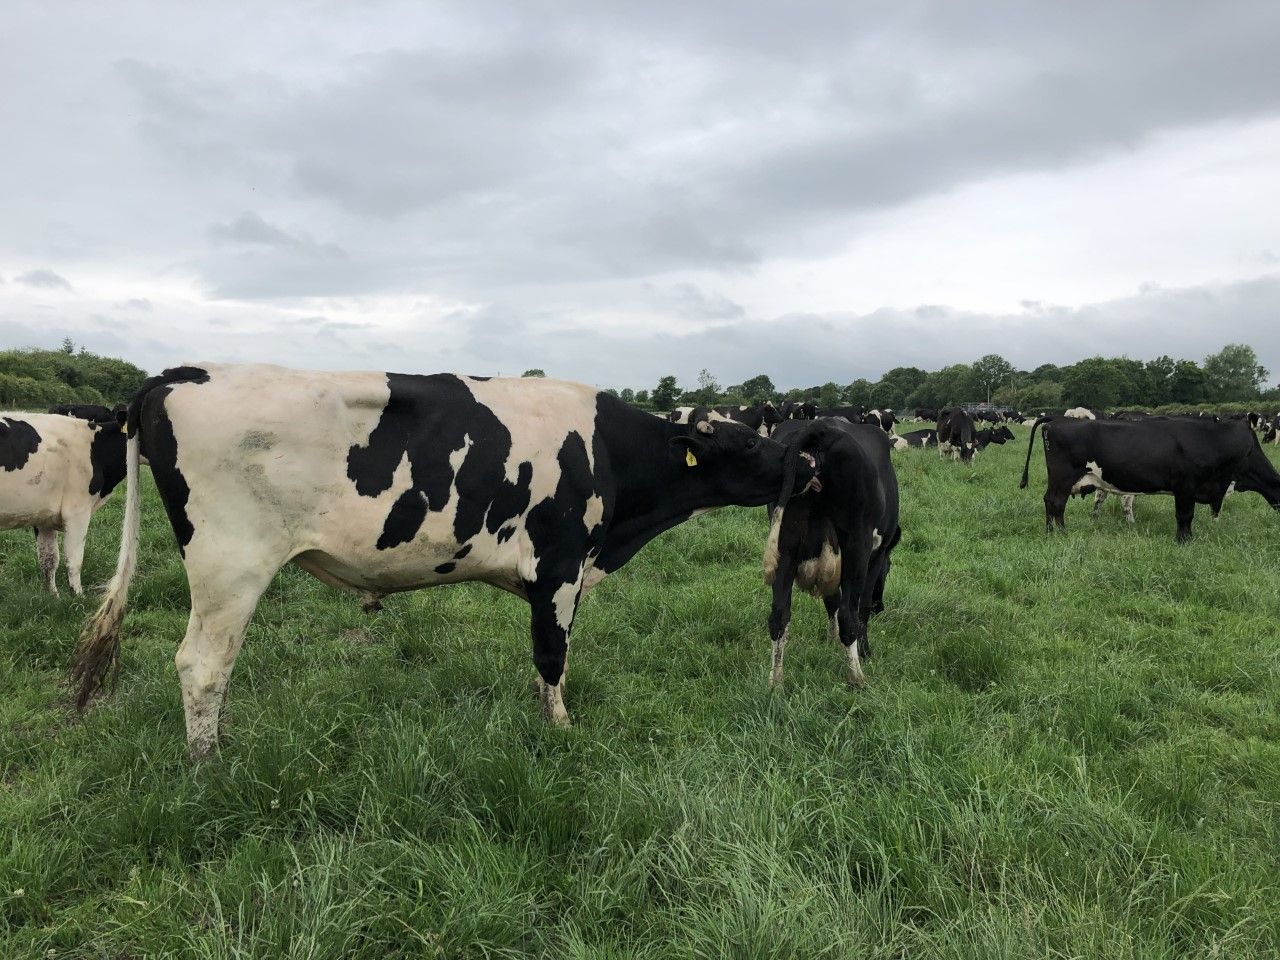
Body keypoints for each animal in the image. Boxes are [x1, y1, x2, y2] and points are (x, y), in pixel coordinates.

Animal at [1, 412, 126, 594]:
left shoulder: (43, 514)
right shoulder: (77, 512)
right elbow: (74, 560)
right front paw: (78, 596)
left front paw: (52, 595)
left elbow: (49, 559)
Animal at [72, 365, 816, 758]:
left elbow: (541, 661)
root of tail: (179, 376)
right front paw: (561, 733)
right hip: (230, 564)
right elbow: (554, 654)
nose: (807, 464)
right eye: (751, 445)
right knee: (202, 666)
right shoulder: (560, 565)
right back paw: (209, 763)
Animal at [763, 418, 900, 689]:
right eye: (888, 571)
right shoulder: (876, 555)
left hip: (785, 543)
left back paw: (775, 682)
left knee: (779, 615)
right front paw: (865, 652)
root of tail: (819, 429)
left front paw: (832, 640)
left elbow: (831, 601)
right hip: (857, 544)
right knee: (849, 614)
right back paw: (857, 677)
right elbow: (859, 609)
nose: (881, 607)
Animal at [1019, 415, 1280, 541]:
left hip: (1060, 480)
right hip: (1063, 477)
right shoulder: (1185, 486)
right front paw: (1184, 541)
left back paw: (1054, 532)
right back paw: (1058, 534)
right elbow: (1185, 516)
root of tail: (1057, 420)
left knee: (1052, 503)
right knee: (1055, 503)